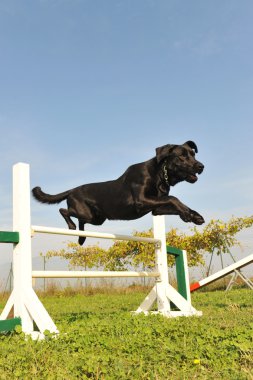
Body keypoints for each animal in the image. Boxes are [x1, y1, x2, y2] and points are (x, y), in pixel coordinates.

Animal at [32, 141, 205, 245]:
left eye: (193, 154)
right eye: (182, 156)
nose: (201, 166)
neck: (159, 174)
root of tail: (72, 190)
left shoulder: (156, 208)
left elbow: (171, 202)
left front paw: (194, 216)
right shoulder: (142, 201)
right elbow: (173, 198)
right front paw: (187, 214)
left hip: (97, 218)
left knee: (78, 219)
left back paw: (82, 238)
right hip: (86, 213)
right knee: (63, 210)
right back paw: (72, 227)